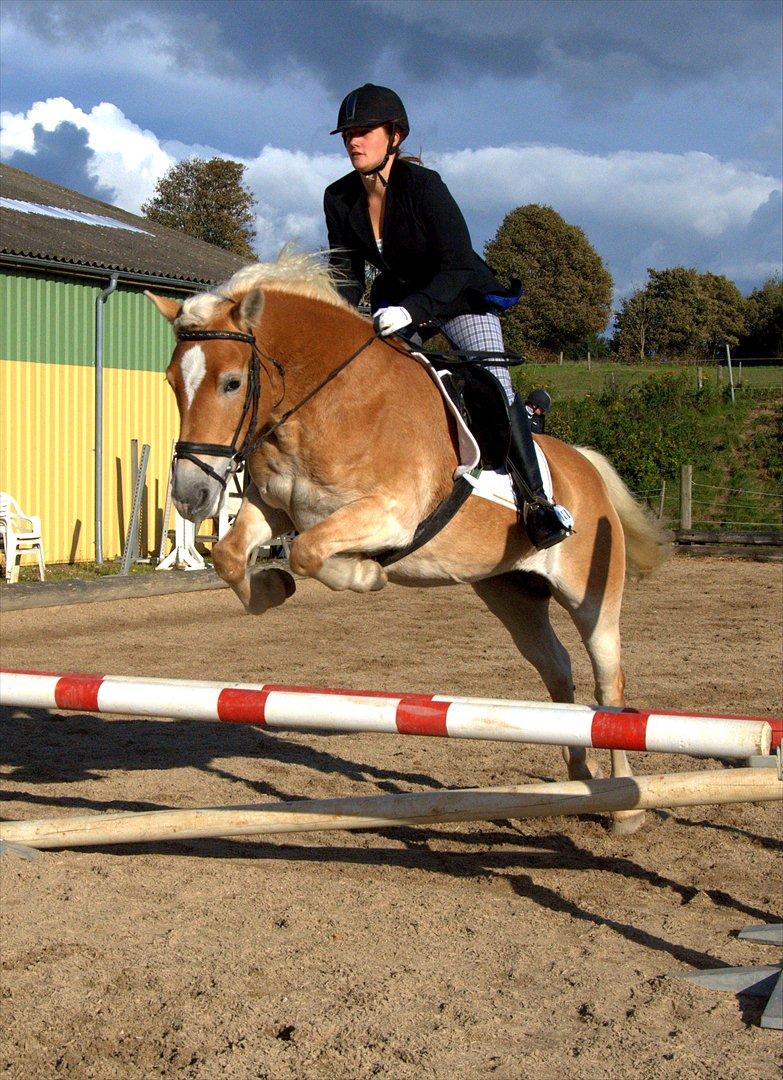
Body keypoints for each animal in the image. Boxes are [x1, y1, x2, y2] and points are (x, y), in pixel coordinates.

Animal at [146, 248, 665, 829]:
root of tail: (586, 465)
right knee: (558, 672)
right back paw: (579, 776)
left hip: (589, 594)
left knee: (608, 683)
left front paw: (366, 573)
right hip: (511, 593)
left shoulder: (389, 513)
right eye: (171, 382)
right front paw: (273, 588)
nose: (189, 496)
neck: (326, 403)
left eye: (233, 383)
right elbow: (232, 555)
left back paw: (624, 805)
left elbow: (308, 550)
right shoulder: (275, 508)